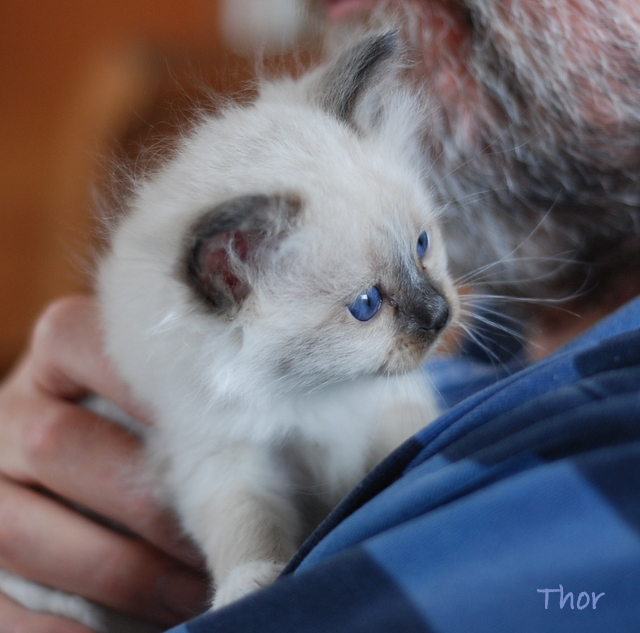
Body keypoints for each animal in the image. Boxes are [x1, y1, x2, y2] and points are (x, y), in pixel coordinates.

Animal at [0, 28, 458, 628]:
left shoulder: (390, 405)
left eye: (422, 246)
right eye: (366, 305)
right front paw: (252, 586)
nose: (440, 315)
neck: (315, 392)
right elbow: (248, 528)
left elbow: (404, 444)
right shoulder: (223, 457)